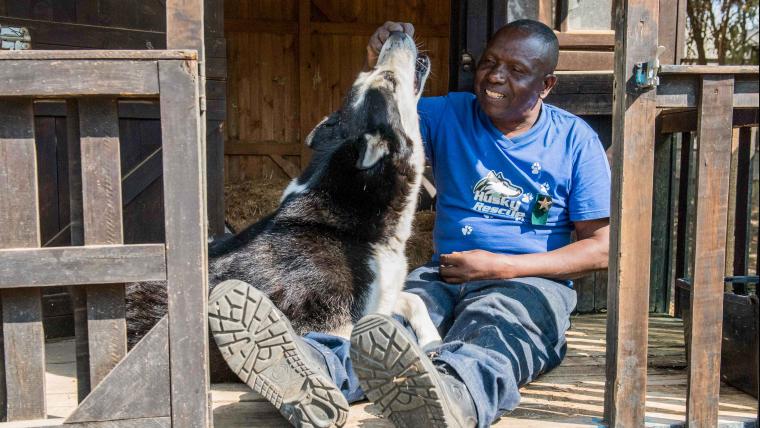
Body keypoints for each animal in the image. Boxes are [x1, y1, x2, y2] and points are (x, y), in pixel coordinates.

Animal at [127, 32, 440, 424]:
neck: (351, 225)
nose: (398, 33)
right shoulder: (331, 322)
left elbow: (414, 299)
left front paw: (432, 340)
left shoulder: (380, 297)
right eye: (389, 80)